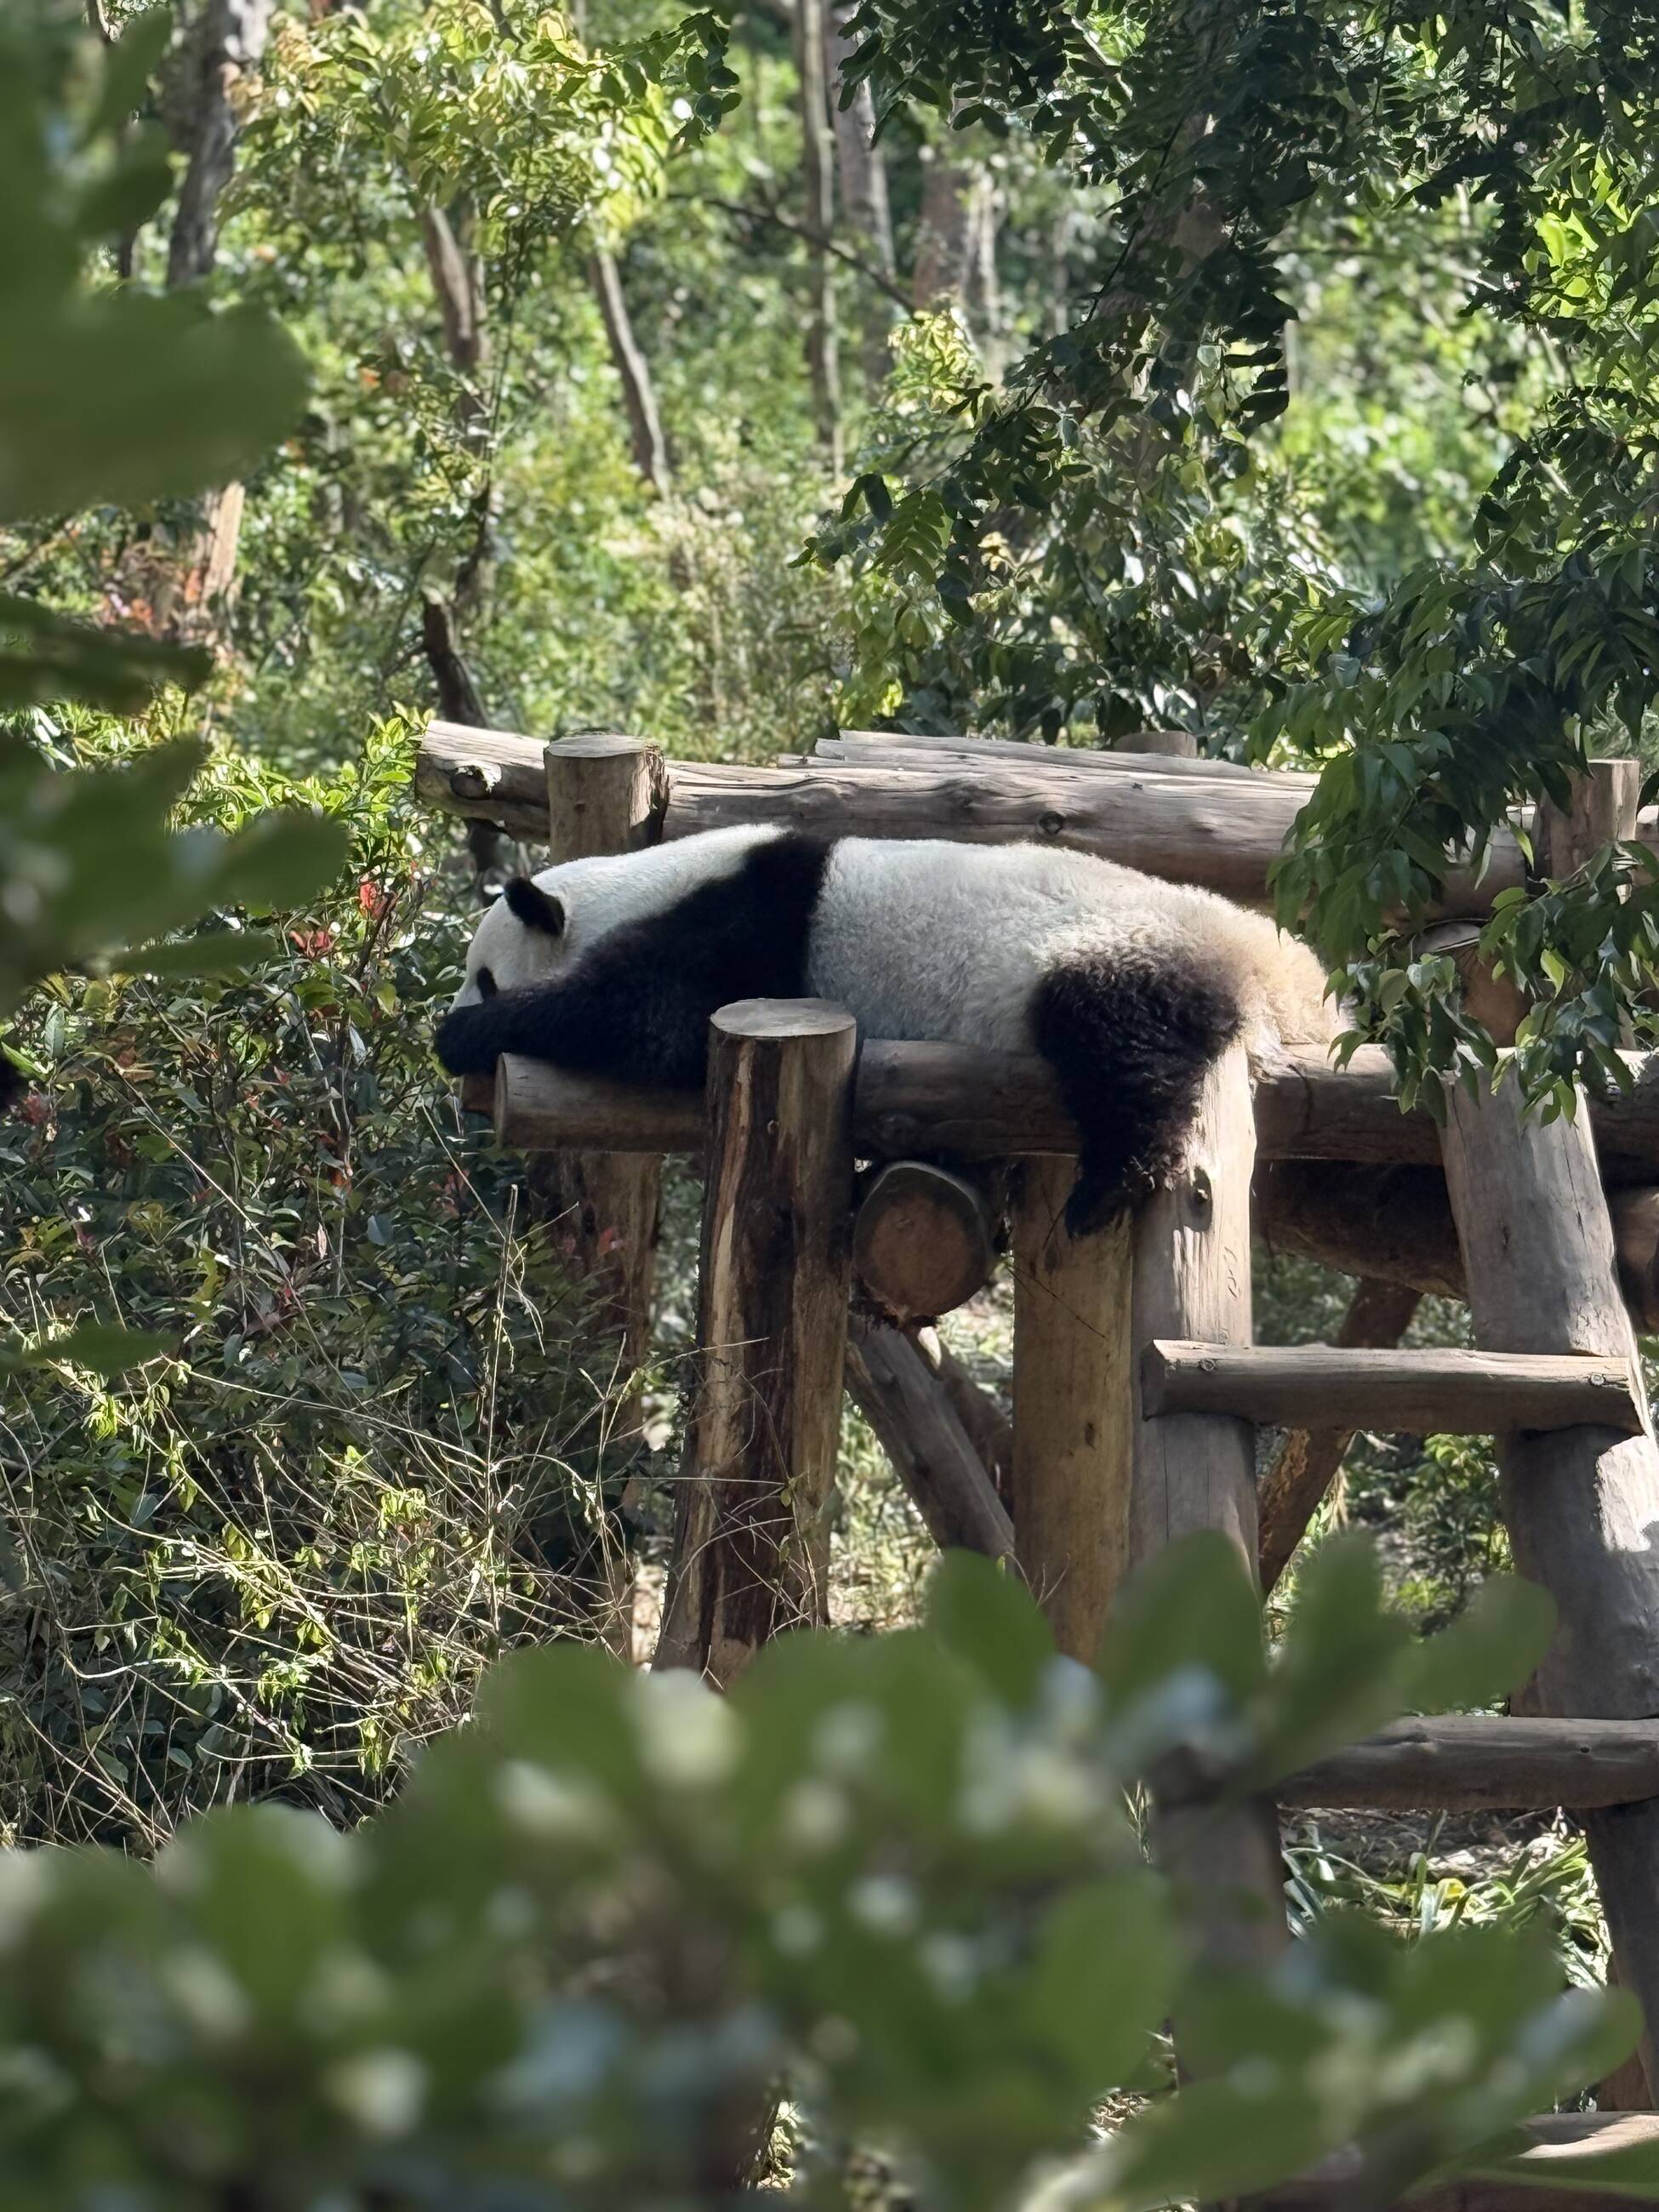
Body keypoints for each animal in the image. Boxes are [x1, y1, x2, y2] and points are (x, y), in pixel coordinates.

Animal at [435, 827, 1337, 1234]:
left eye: (484, 972)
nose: (458, 1005)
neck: (637, 885)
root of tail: (1289, 982)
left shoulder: (746, 927)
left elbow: (655, 1021)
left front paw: (468, 1033)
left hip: (1115, 948)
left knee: (1124, 1048)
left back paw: (1110, 1186)